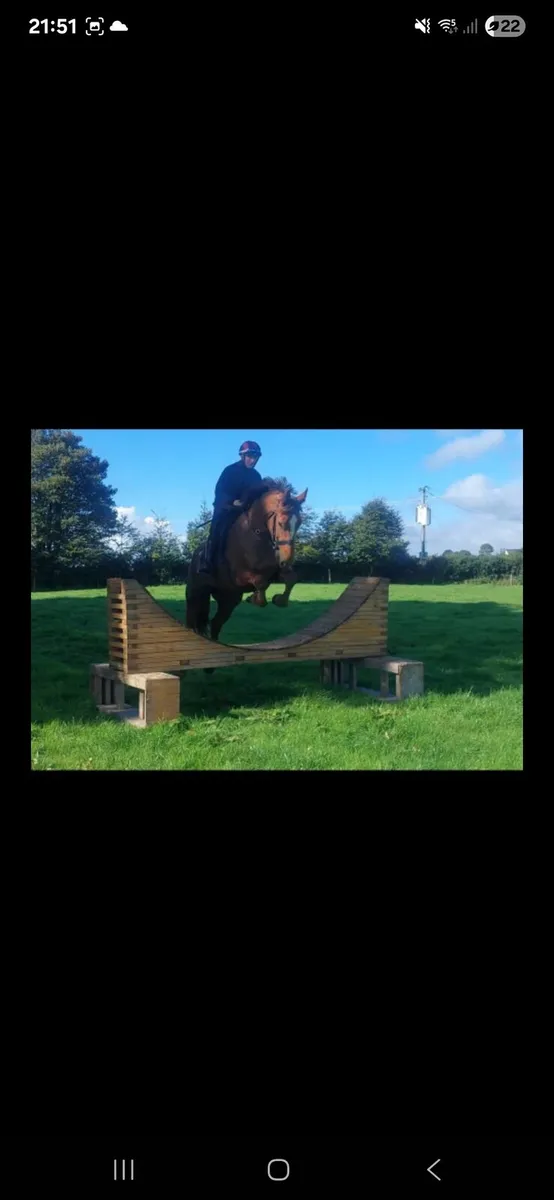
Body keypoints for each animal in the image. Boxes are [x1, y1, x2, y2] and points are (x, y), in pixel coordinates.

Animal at [185, 482, 308, 644]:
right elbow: (261, 582)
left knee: (216, 623)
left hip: (229, 599)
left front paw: (279, 600)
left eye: (299, 523)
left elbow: (291, 578)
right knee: (192, 620)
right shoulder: (240, 576)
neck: (257, 535)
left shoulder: (274, 571)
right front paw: (255, 599)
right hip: (196, 594)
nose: (286, 559)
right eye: (281, 522)